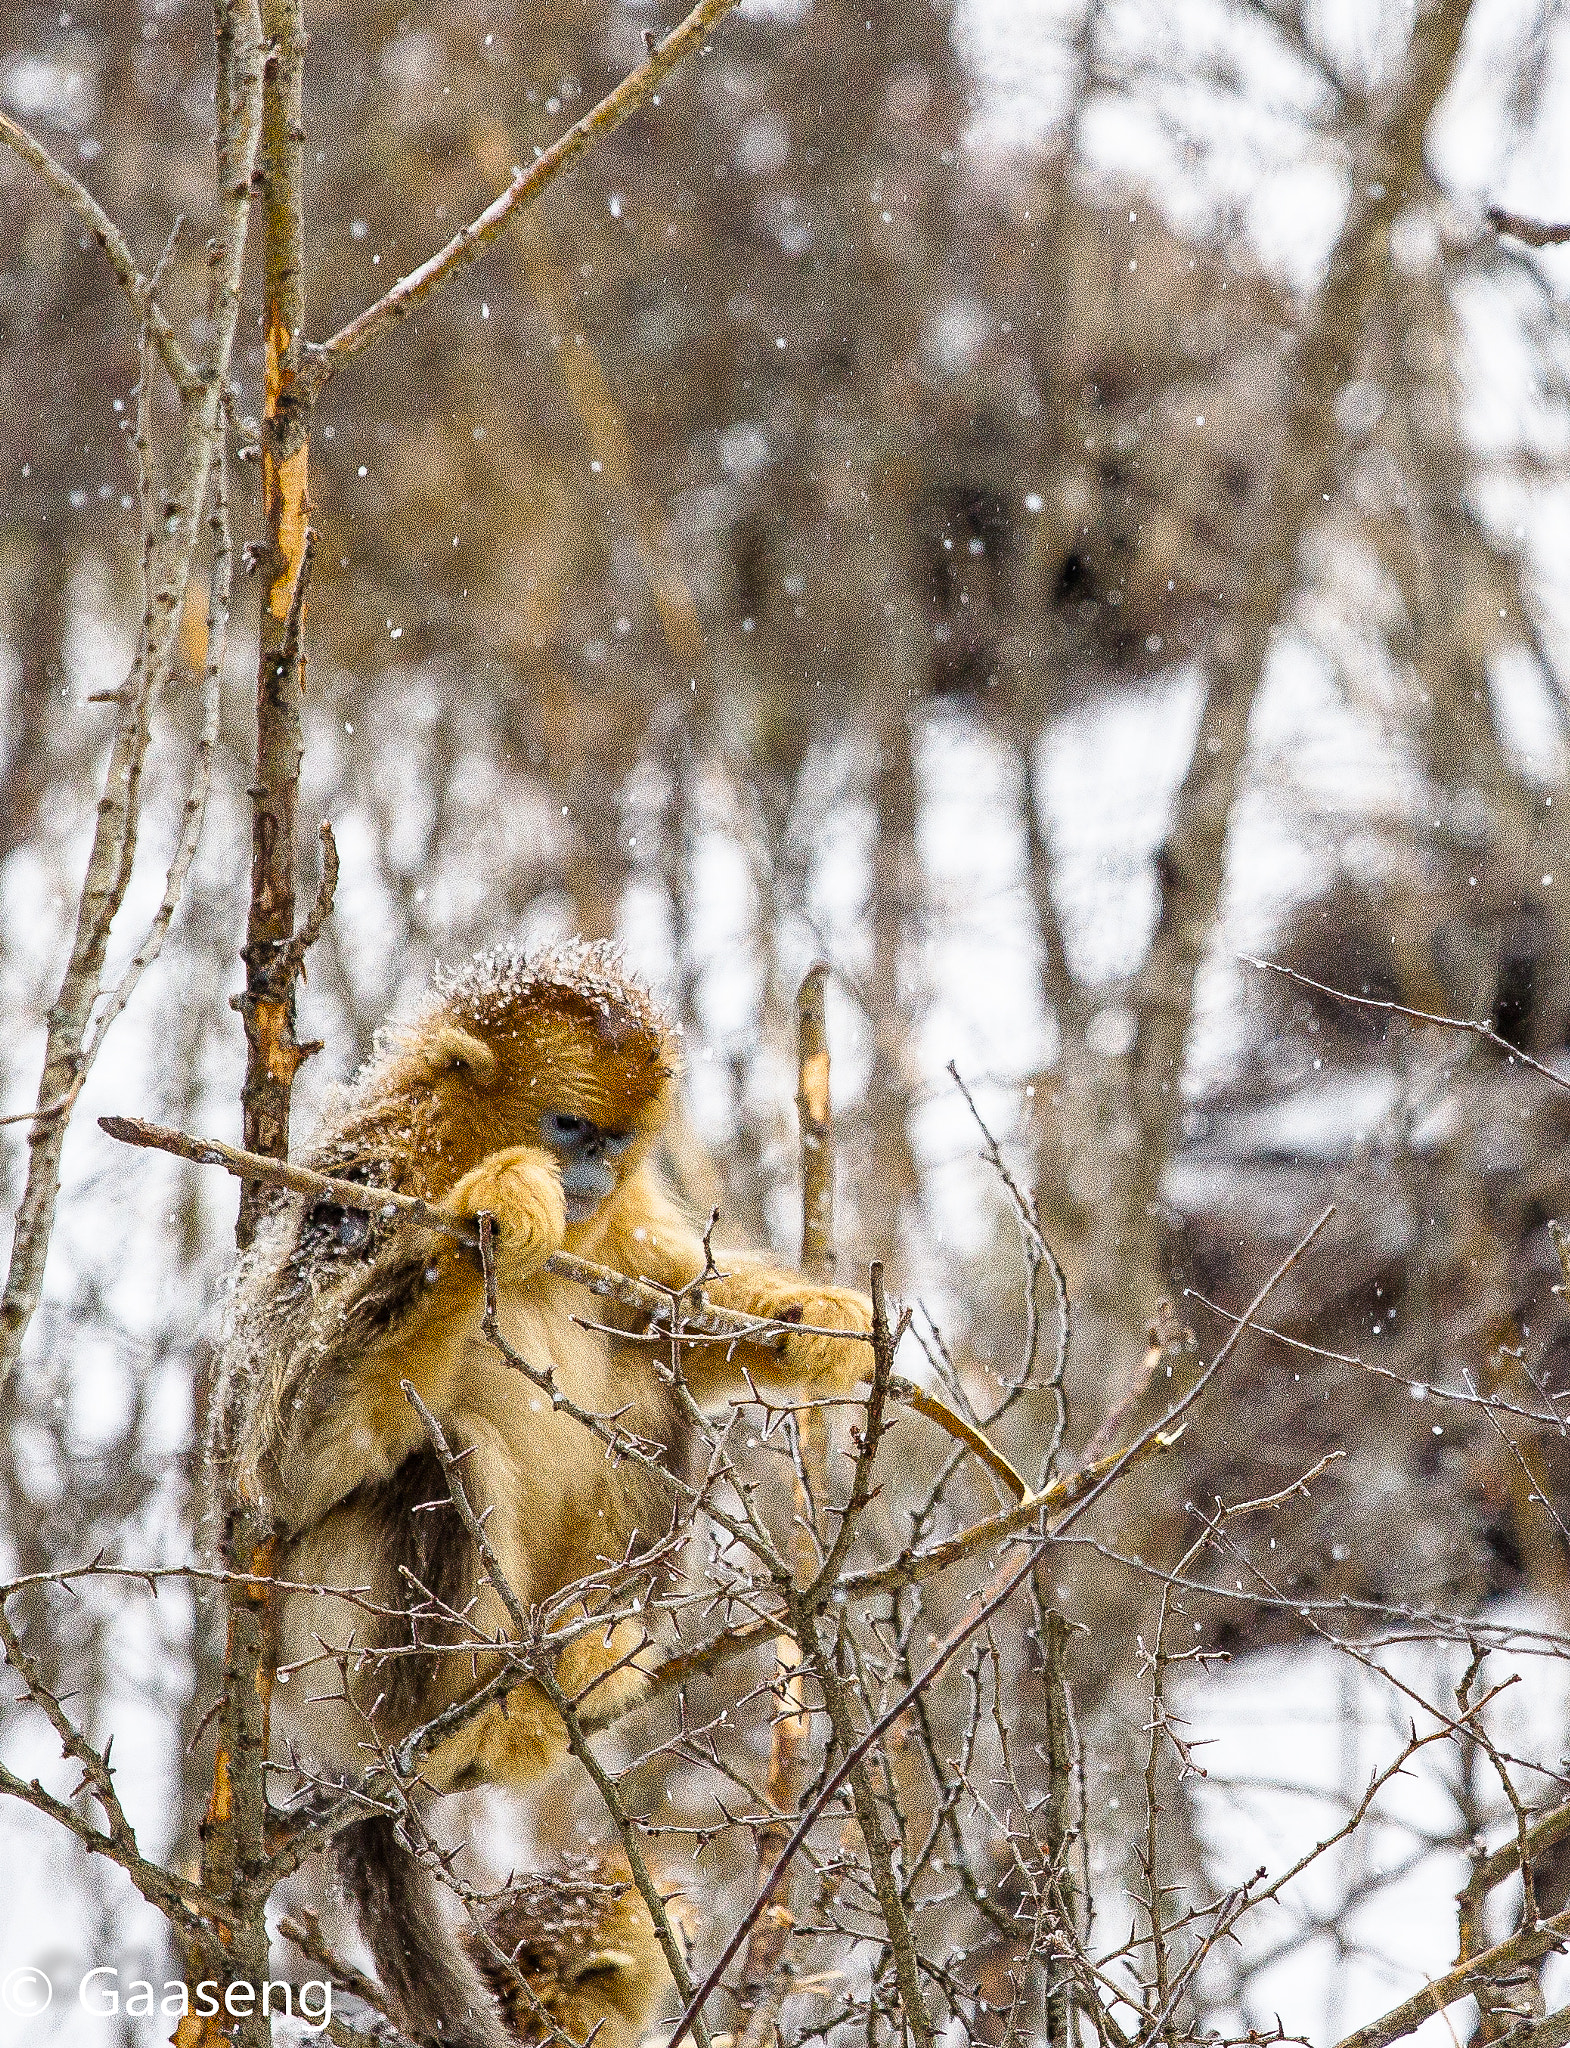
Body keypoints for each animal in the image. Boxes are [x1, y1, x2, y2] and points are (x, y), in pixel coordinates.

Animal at [218, 939, 873, 2048]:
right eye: (568, 1125)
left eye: (618, 1137)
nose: (590, 1171)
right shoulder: (356, 1186)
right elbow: (278, 1465)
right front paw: (488, 1213)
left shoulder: (621, 1236)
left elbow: (671, 1316)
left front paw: (810, 1320)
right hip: (328, 1659)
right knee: (445, 1457)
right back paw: (464, 1723)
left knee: (649, 1400)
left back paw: (572, 1666)